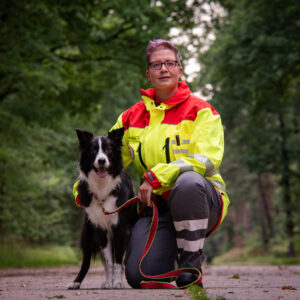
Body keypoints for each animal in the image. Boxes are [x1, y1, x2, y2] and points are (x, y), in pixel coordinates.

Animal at [68, 127, 137, 290]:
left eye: (109, 149)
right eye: (93, 149)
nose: (101, 160)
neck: (102, 187)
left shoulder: (120, 227)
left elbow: (117, 261)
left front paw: (117, 283)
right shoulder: (101, 228)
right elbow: (108, 261)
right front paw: (110, 282)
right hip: (89, 233)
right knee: (87, 261)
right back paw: (77, 282)